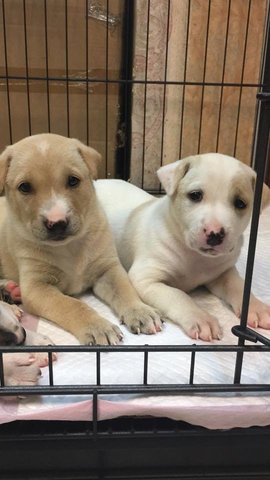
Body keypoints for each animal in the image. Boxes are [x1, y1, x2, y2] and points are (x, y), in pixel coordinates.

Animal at [0, 133, 161, 344]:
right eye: (24, 187)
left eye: (73, 181)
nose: (57, 222)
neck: (69, 246)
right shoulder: (37, 287)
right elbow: (72, 305)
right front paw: (97, 327)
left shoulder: (108, 268)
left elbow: (124, 289)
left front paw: (140, 311)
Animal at [96, 154, 270, 342]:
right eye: (195, 195)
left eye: (240, 203)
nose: (215, 233)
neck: (195, 256)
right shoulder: (146, 279)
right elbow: (179, 295)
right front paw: (201, 318)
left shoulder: (224, 272)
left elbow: (239, 286)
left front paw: (257, 308)